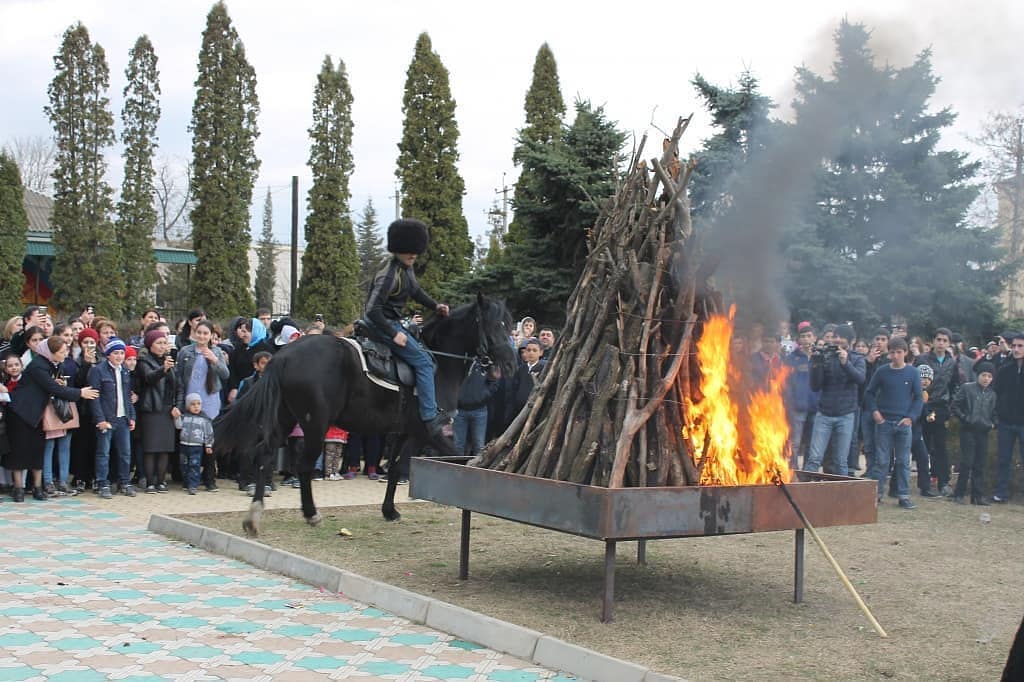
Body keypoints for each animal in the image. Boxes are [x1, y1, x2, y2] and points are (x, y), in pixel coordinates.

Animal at [212, 294, 516, 532]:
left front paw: (389, 510)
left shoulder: (402, 432)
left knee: (264, 454)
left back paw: (255, 514)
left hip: (286, 417)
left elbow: (394, 470)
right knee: (304, 465)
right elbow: (458, 457)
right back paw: (311, 513)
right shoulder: (427, 429)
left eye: (509, 324)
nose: (511, 364)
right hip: (314, 424)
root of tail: (284, 356)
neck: (439, 360)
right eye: (494, 325)